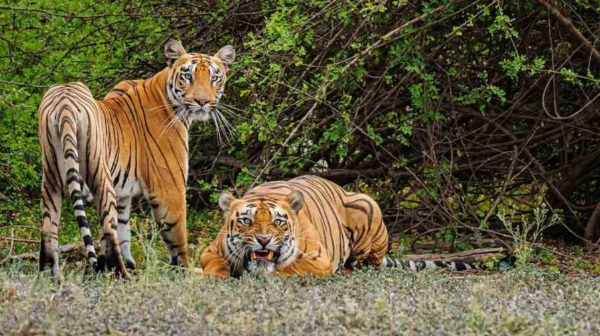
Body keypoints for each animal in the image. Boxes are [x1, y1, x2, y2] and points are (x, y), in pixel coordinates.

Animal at [38, 40, 236, 278]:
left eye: (214, 77)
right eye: (188, 75)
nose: (202, 101)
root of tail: (64, 102)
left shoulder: (123, 194)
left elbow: (124, 229)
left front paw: (131, 261)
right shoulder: (169, 186)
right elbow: (177, 232)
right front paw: (186, 270)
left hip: (51, 178)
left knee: (48, 228)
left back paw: (50, 275)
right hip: (100, 177)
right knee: (107, 231)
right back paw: (123, 276)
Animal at [202, 175, 478, 276]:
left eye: (278, 222)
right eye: (247, 221)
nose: (263, 240)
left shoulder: (318, 260)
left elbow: (287, 269)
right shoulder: (209, 252)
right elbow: (215, 267)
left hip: (367, 205)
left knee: (365, 263)